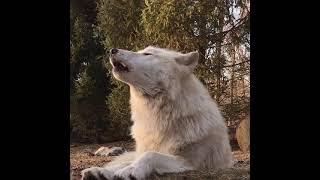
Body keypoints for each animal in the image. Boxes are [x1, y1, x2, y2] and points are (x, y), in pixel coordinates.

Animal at [80, 46, 232, 180]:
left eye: (147, 54)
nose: (112, 50)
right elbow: (126, 162)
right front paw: (102, 171)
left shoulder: (189, 161)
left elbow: (151, 155)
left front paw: (132, 170)